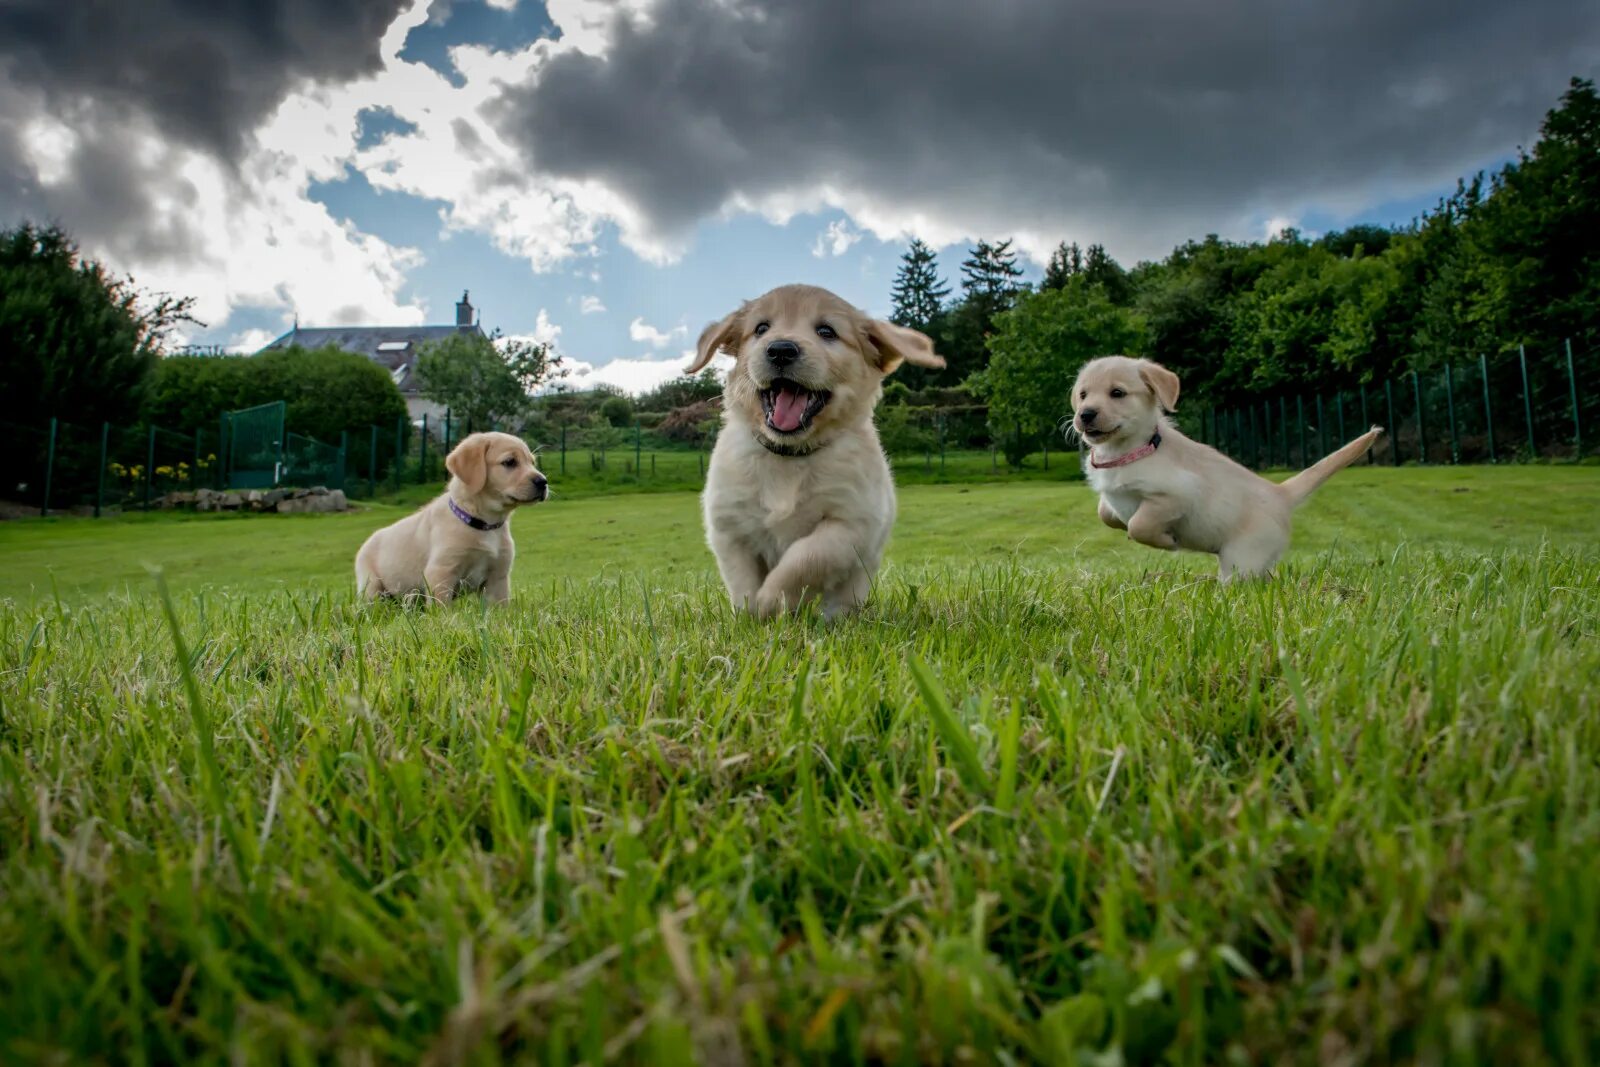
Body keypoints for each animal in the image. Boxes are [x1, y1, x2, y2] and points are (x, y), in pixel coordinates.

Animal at [353, 428, 547, 604]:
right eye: (510, 462)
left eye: (532, 462)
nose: (543, 482)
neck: (484, 523)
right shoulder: (440, 573)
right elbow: (442, 610)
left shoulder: (498, 577)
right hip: (371, 586)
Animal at [684, 283, 934, 617]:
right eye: (761, 328)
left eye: (827, 331)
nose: (780, 349)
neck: (790, 455)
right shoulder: (729, 526)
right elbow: (742, 581)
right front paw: (751, 614)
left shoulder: (852, 524)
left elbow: (805, 558)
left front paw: (771, 600)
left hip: (860, 572)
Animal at [1081, 355, 1382, 579]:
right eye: (1082, 394)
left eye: (1117, 393)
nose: (1084, 414)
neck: (1130, 451)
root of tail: (1280, 494)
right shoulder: (1113, 497)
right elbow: (1105, 513)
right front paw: (1118, 520)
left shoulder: (1178, 496)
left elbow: (1139, 524)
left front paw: (1167, 542)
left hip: (1241, 559)